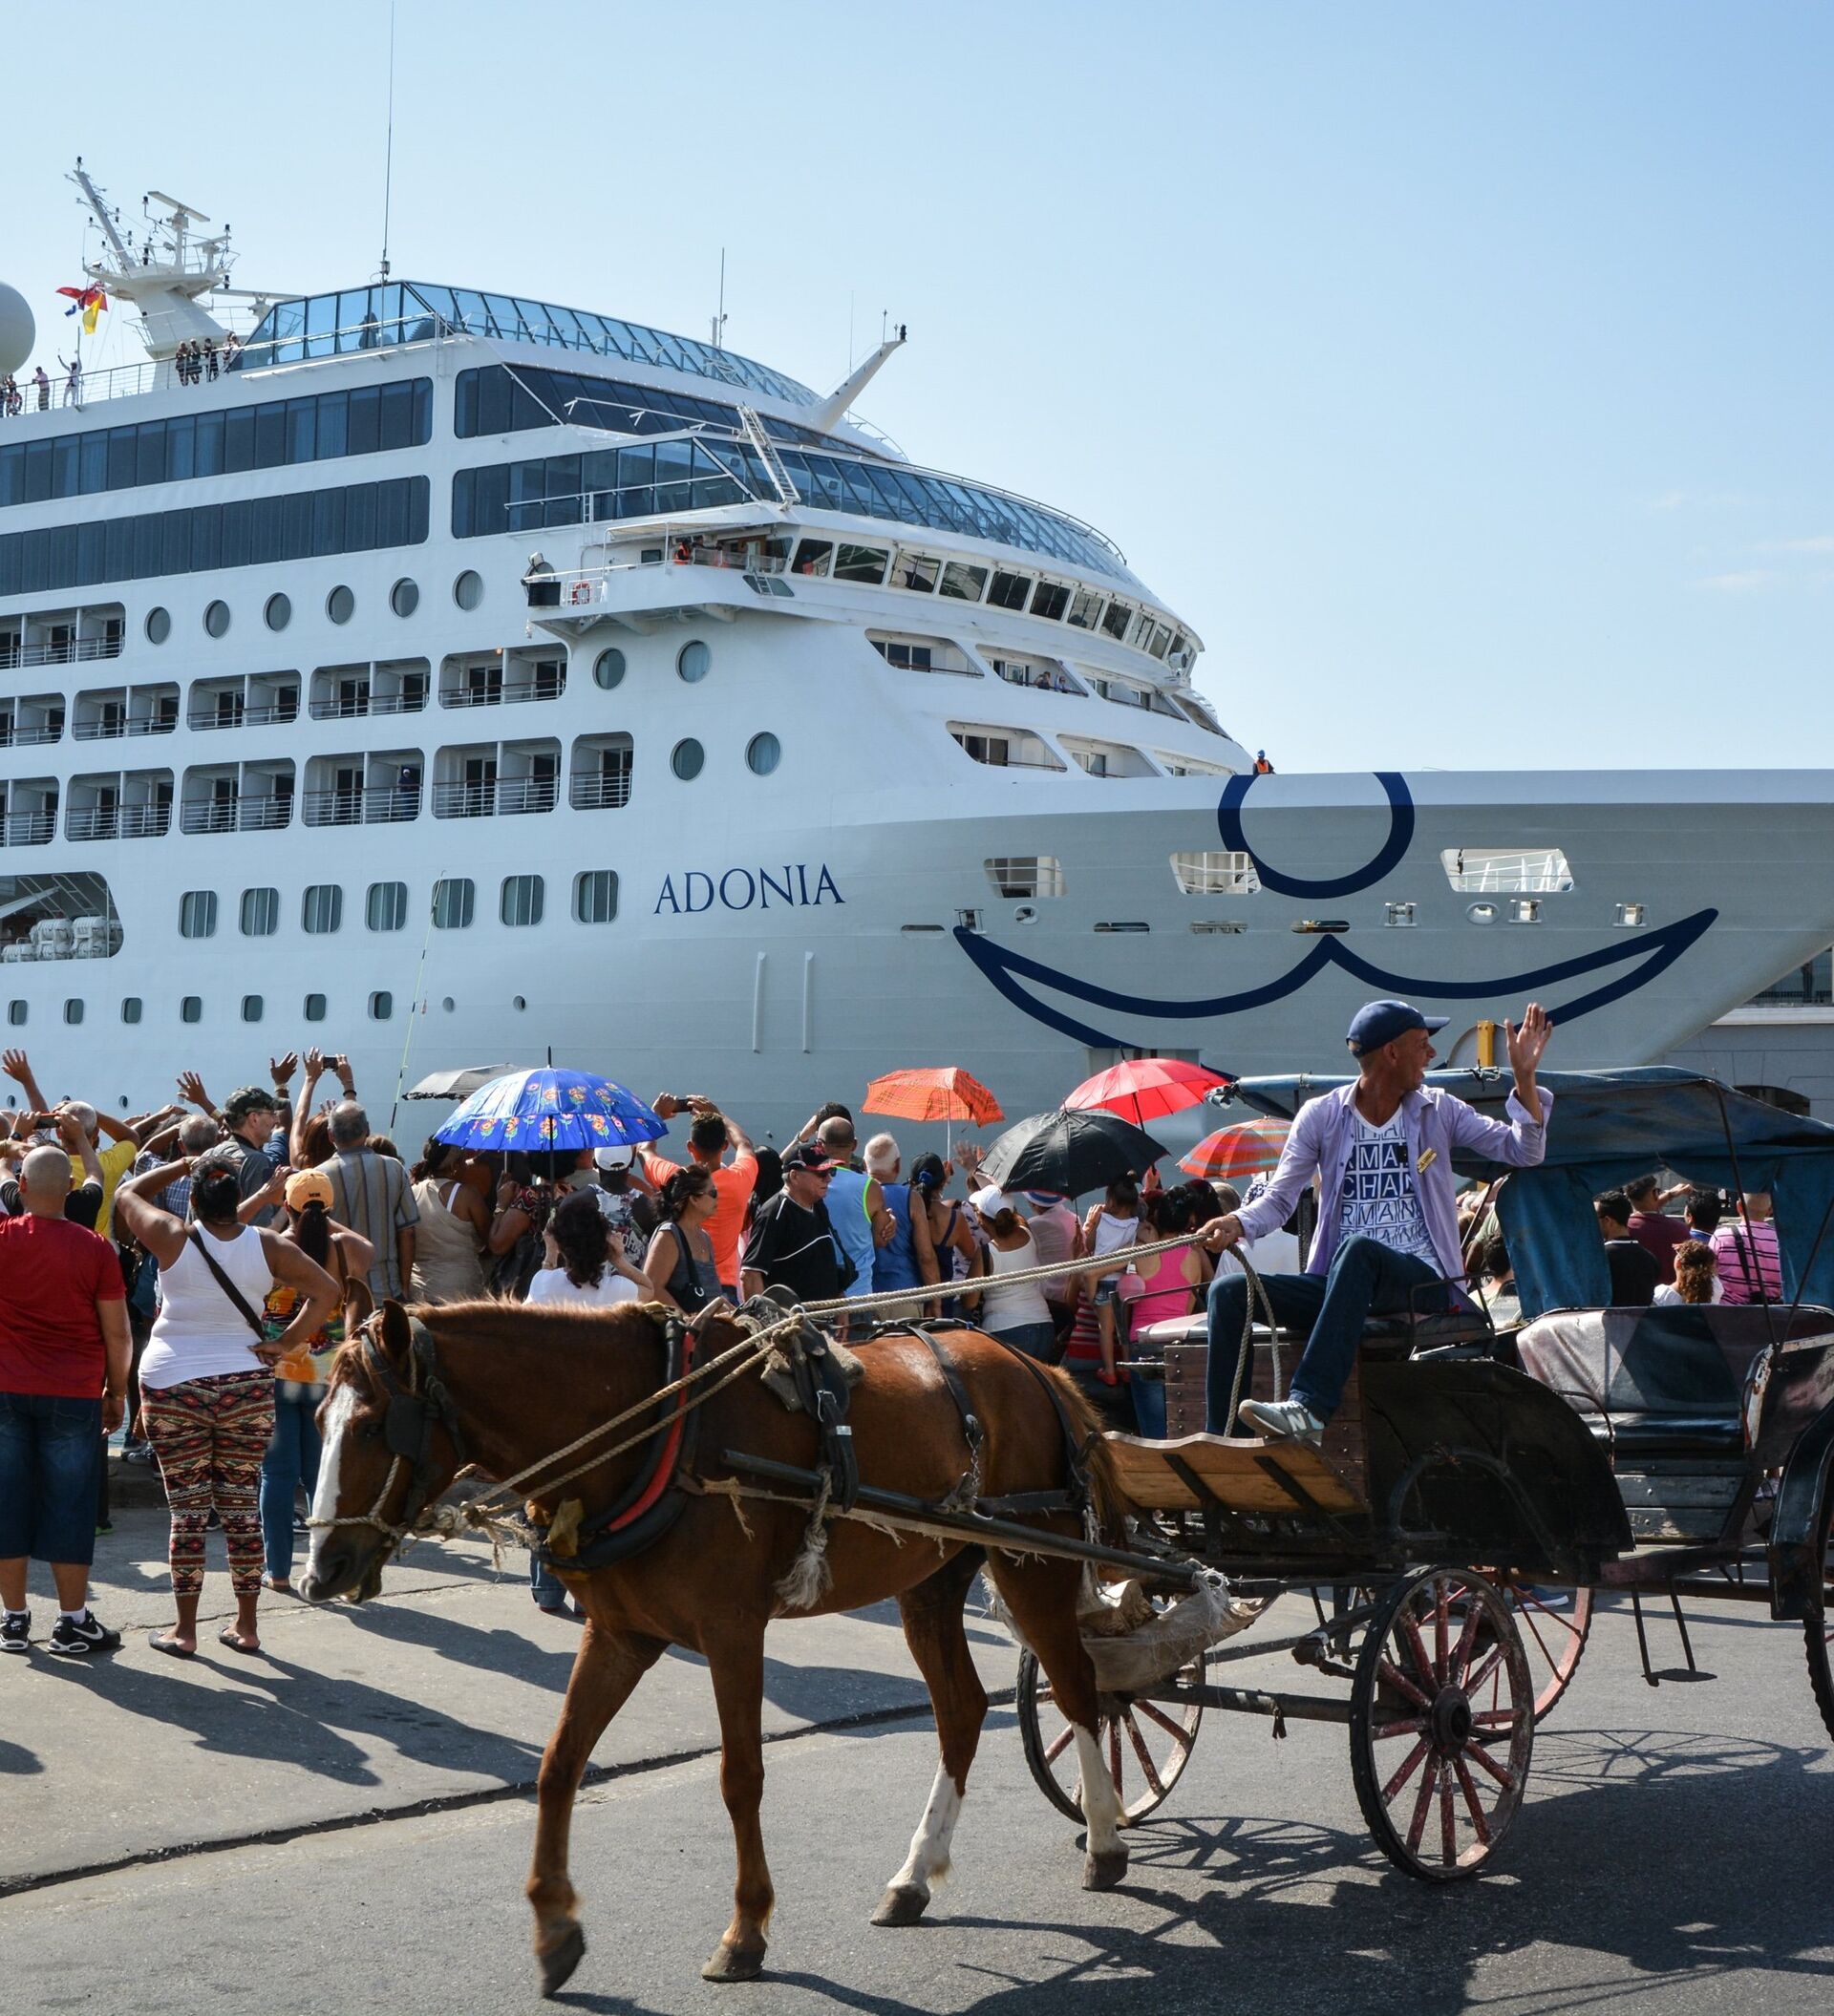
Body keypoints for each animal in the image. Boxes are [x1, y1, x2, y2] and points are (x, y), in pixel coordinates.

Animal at [300, 1297, 1132, 1998]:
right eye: (316, 1418)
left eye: (373, 1425)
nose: (320, 1570)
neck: (654, 1427)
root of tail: (1038, 1368)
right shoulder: (622, 1634)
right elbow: (558, 1766)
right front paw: (556, 1926)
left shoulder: (733, 1630)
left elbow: (741, 1777)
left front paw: (746, 1930)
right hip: (928, 1581)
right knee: (961, 1709)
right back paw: (914, 1876)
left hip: (1036, 1560)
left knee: (1077, 1686)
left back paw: (1104, 1838)